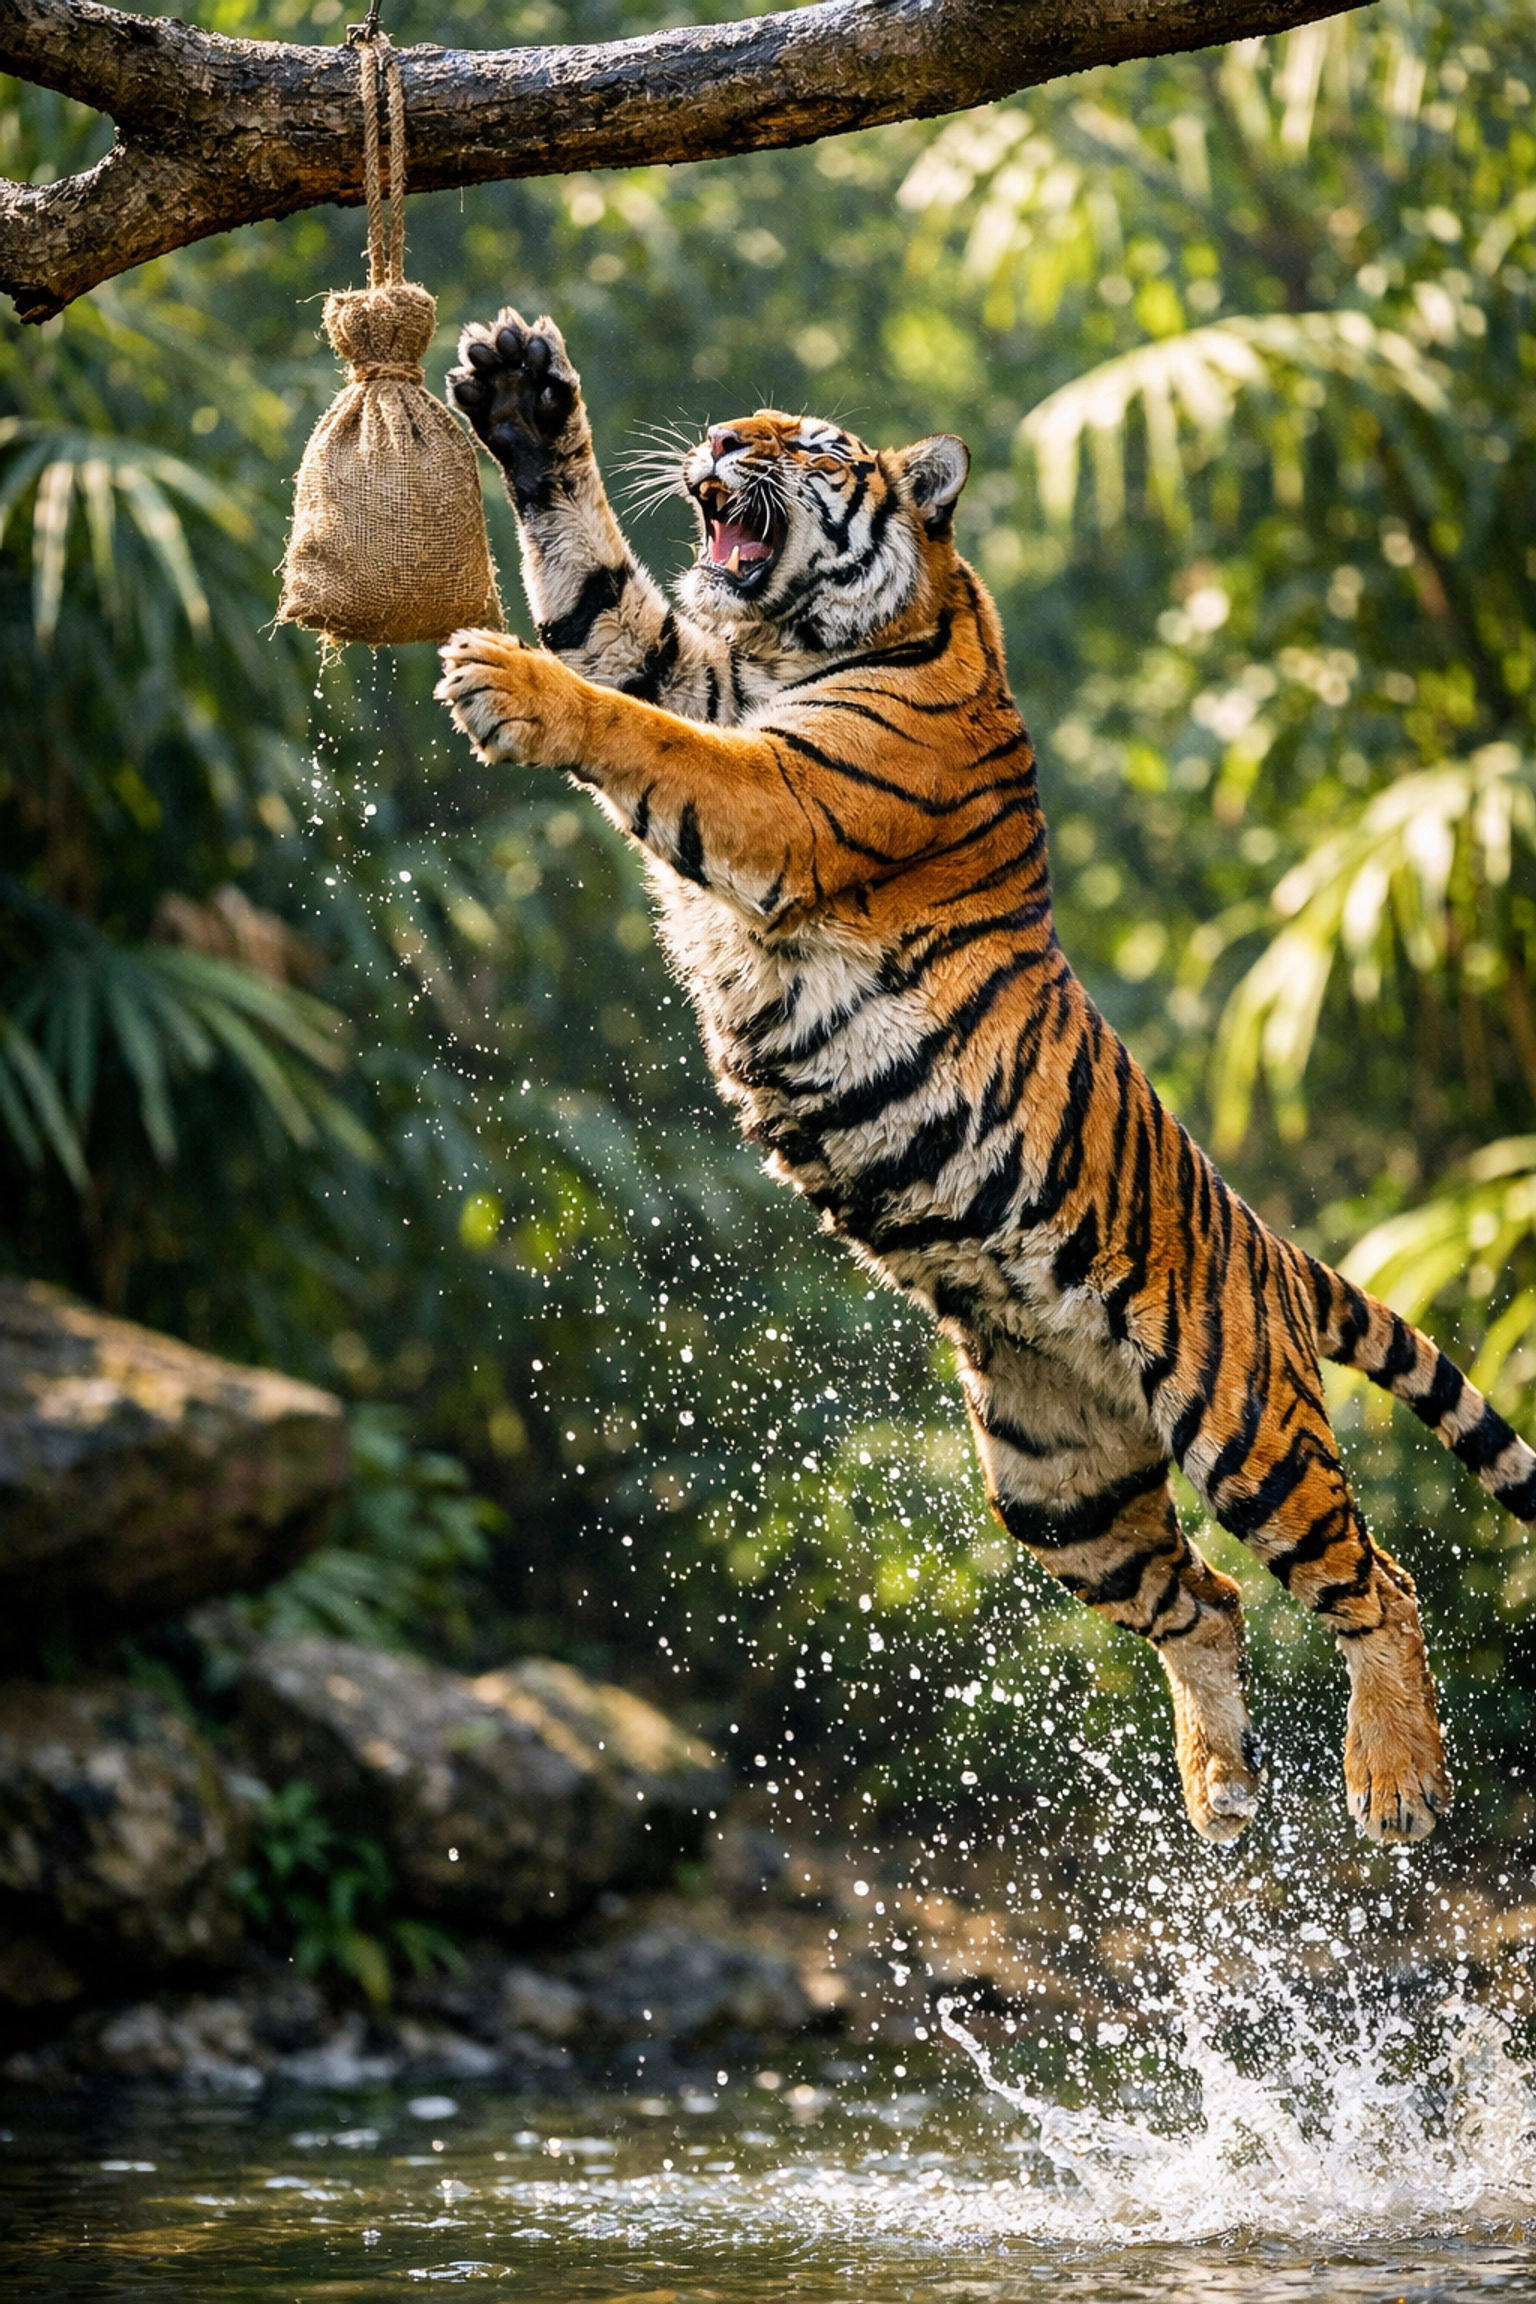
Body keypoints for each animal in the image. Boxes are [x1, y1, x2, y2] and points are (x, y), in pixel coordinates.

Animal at [436, 309, 1536, 1847]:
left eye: (812, 446)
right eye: (744, 428)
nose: (717, 443)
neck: (791, 643)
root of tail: (1267, 1244)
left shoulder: (776, 794)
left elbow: (640, 730)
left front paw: (500, 681)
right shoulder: (685, 663)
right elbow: (597, 590)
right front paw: (522, 398)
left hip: (1243, 1420)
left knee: (1373, 1577)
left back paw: (1395, 1781)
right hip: (1055, 1478)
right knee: (1201, 1600)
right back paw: (1218, 1794)